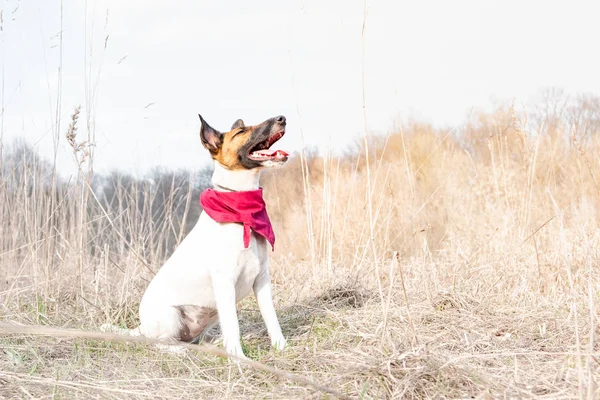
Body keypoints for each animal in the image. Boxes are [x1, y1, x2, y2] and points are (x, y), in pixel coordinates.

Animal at [102, 113, 290, 360]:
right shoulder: (225, 282)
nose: (282, 118)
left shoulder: (262, 280)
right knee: (159, 343)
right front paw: (238, 357)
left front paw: (282, 347)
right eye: (241, 132)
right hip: (171, 315)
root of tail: (140, 328)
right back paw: (180, 350)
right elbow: (233, 325)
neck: (242, 211)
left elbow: (272, 319)